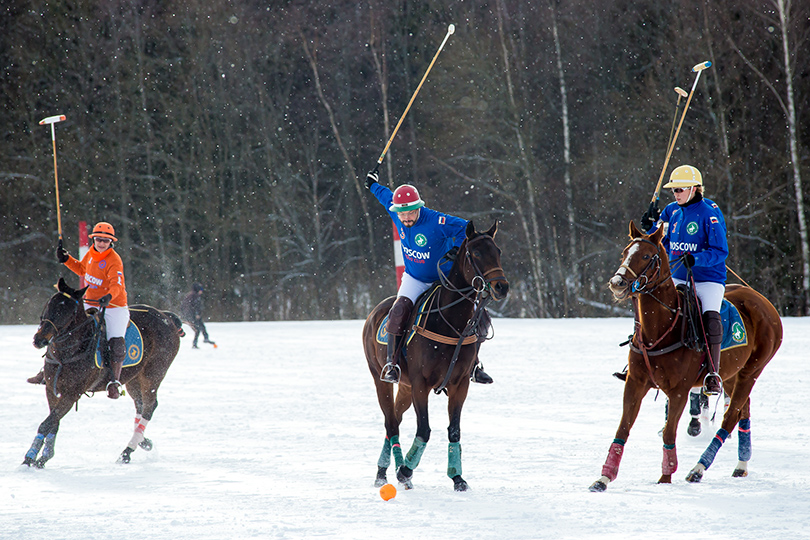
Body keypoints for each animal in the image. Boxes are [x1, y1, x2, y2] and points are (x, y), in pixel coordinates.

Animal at [22, 278, 182, 468]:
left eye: (69, 312)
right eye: (49, 304)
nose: (39, 340)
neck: (66, 352)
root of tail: (167, 317)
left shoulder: (72, 393)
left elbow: (47, 423)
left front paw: (29, 458)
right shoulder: (52, 389)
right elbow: (54, 422)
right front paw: (44, 457)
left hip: (153, 373)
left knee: (150, 406)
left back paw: (127, 452)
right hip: (134, 378)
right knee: (140, 405)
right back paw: (143, 441)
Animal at [362, 221, 508, 492]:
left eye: (498, 251)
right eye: (476, 253)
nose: (501, 287)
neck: (450, 319)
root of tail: (374, 312)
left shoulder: (459, 384)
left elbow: (454, 431)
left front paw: (458, 478)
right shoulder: (421, 383)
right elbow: (424, 429)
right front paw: (405, 471)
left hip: (405, 387)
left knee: (395, 419)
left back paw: (386, 470)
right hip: (380, 378)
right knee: (390, 422)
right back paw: (385, 473)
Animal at [588, 221, 784, 492]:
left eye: (646, 256)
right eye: (624, 253)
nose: (617, 282)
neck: (659, 329)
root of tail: (763, 300)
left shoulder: (679, 389)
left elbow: (669, 432)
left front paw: (665, 477)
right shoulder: (635, 383)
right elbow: (623, 428)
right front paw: (603, 478)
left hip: (752, 371)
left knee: (730, 417)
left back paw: (698, 469)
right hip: (730, 374)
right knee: (743, 412)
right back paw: (741, 466)